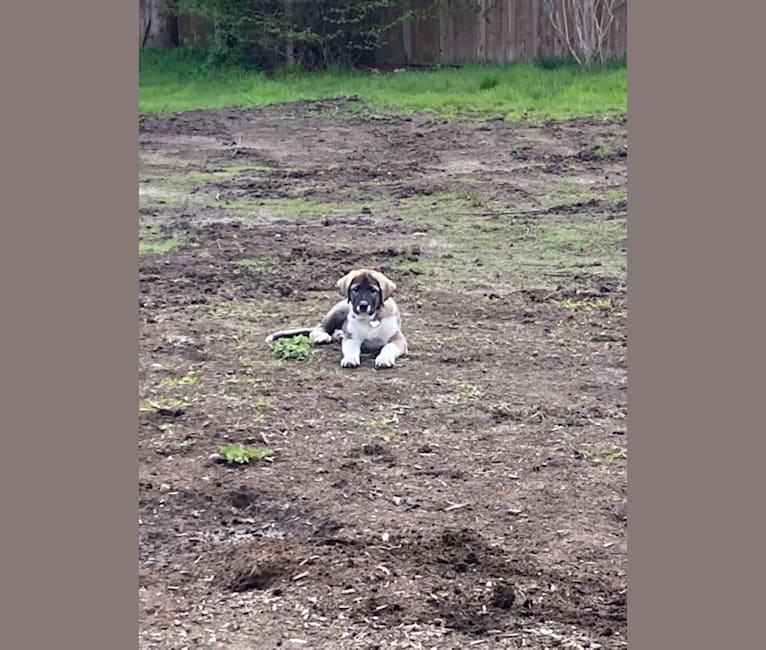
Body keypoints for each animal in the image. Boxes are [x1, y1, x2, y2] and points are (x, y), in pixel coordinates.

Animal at [266, 268, 408, 370]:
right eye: (356, 289)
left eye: (373, 290)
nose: (363, 305)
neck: (371, 319)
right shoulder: (351, 338)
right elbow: (351, 349)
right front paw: (350, 359)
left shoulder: (398, 339)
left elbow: (388, 347)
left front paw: (384, 359)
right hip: (339, 310)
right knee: (318, 328)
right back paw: (323, 336)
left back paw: (338, 334)